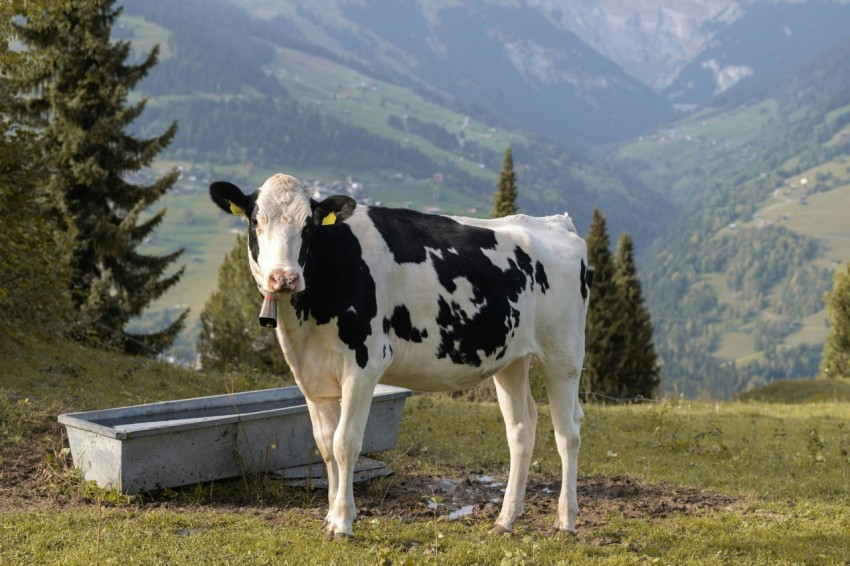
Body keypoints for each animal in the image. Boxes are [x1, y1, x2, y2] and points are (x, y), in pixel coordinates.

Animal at [209, 173, 588, 540]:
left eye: (309, 226)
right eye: (255, 220)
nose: (284, 278)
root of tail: (557, 223)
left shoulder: (364, 363)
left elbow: (345, 443)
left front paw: (343, 523)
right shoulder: (312, 376)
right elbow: (325, 446)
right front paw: (330, 516)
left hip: (563, 355)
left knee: (568, 433)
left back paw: (566, 521)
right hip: (511, 359)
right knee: (521, 431)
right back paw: (505, 520)